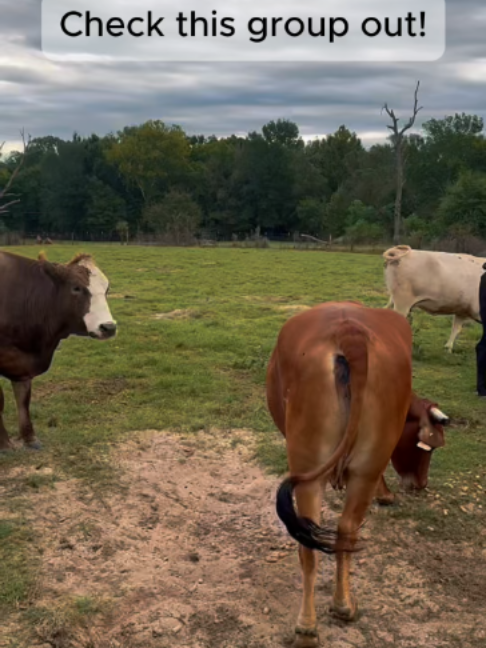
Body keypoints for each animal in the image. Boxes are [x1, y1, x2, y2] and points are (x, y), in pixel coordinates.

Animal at [0, 250, 116, 451]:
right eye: (76, 288)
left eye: (107, 289)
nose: (108, 327)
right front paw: (4, 444)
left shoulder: (21, 362)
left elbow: (23, 398)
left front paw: (30, 438)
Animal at [266, 301, 448, 647]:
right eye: (427, 448)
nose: (421, 484)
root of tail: (349, 333)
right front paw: (386, 493)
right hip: (355, 467)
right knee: (339, 531)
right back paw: (335, 610)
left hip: (312, 470)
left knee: (316, 536)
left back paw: (315, 622)